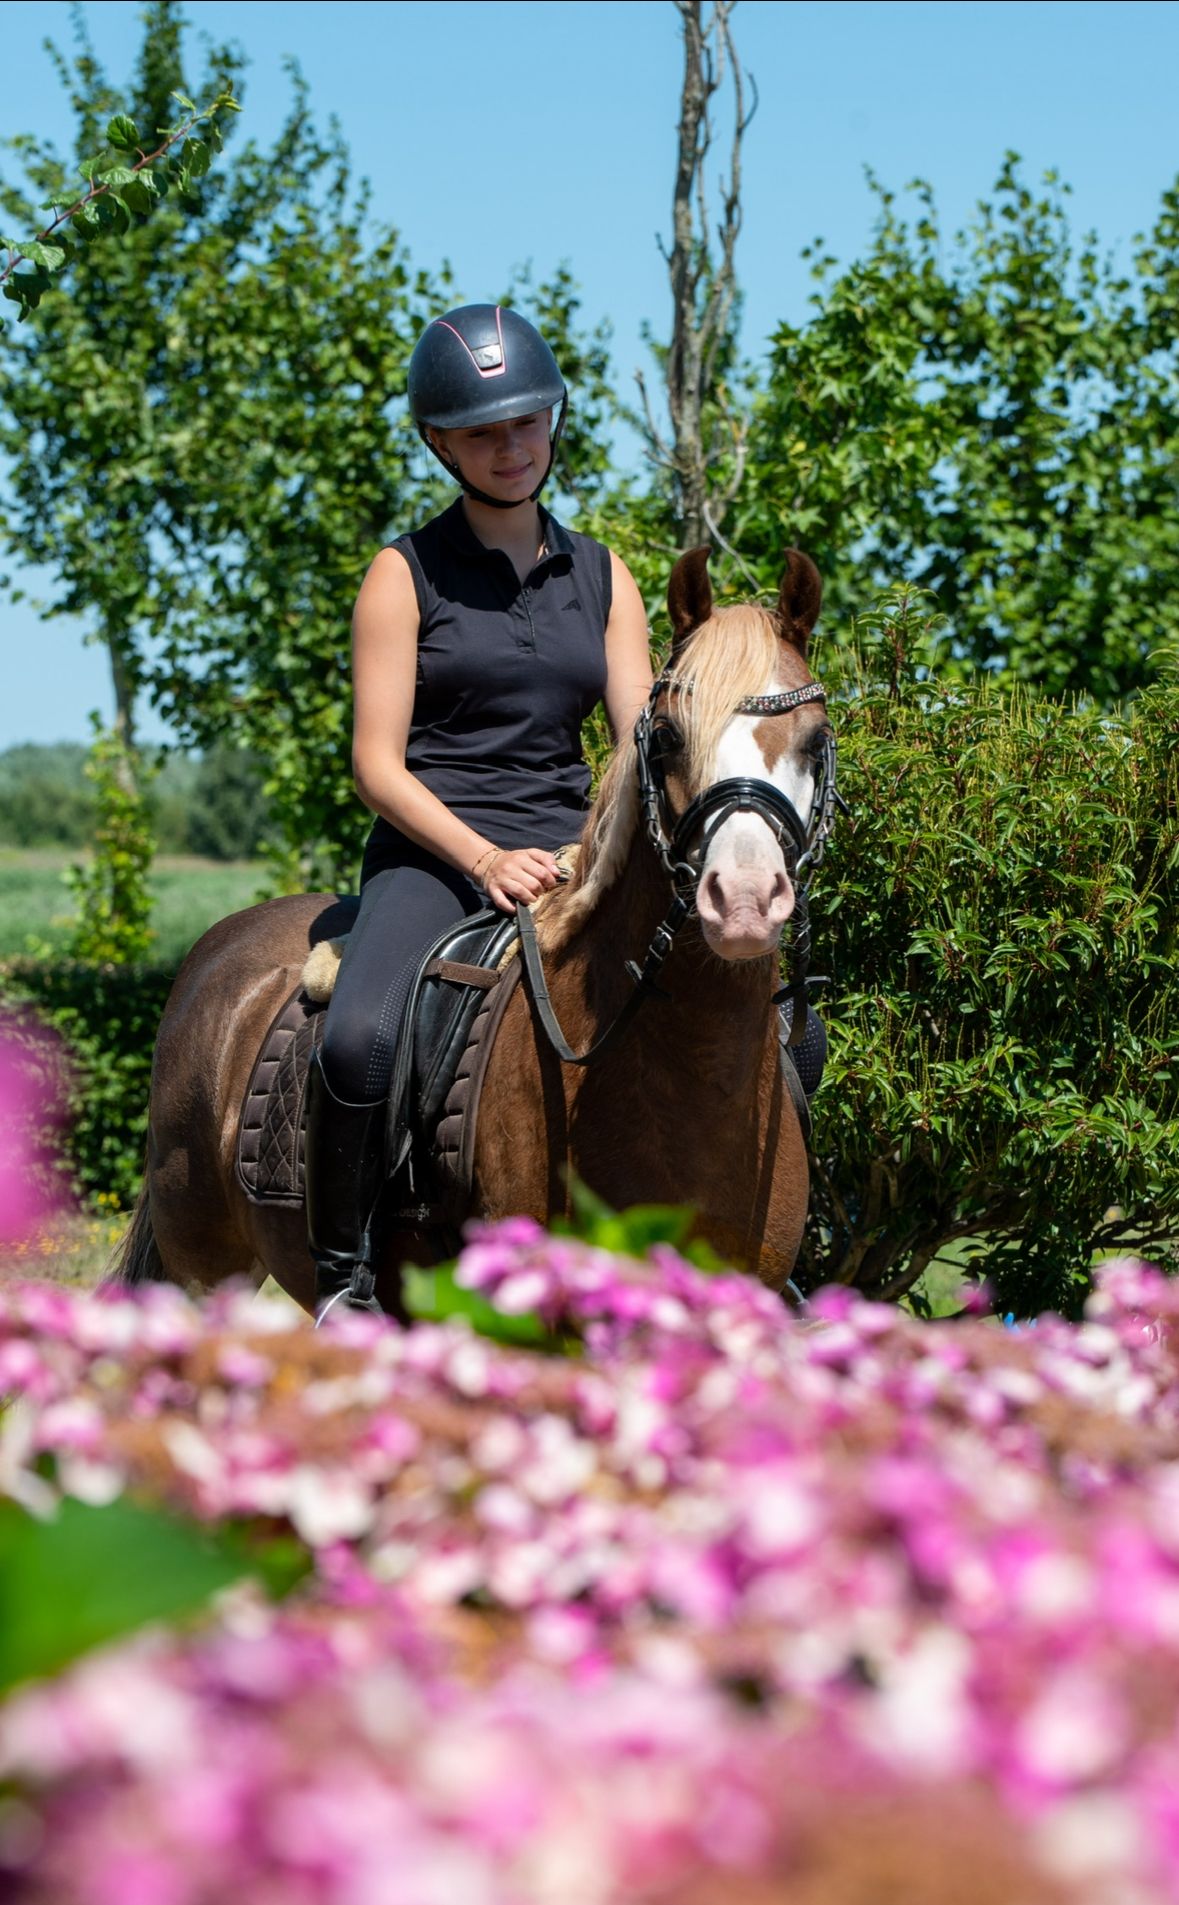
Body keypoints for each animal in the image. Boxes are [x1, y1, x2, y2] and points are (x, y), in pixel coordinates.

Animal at [112, 545, 837, 1314]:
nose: (743, 900)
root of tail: (219, 949)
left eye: (815, 740)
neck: (681, 1076)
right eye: (668, 738)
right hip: (202, 1267)